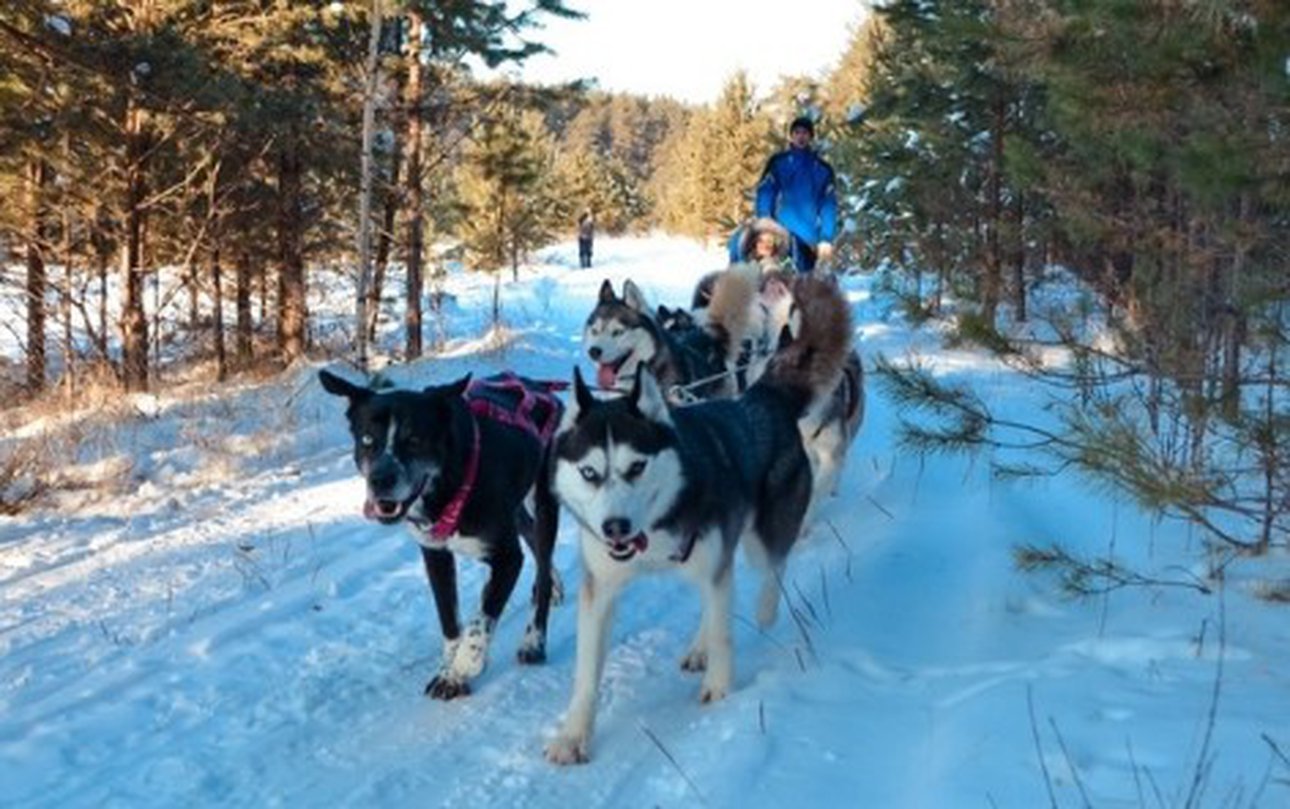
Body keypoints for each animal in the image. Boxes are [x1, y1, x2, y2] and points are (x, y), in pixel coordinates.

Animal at [319, 371, 562, 701]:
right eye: (367, 439)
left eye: (414, 440)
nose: (380, 480)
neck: (449, 486)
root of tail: (537, 385)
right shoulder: (434, 554)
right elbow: (449, 619)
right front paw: (450, 669)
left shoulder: (507, 558)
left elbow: (480, 620)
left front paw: (465, 665)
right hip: (517, 510)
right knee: (536, 547)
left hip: (544, 502)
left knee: (543, 562)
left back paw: (534, 641)